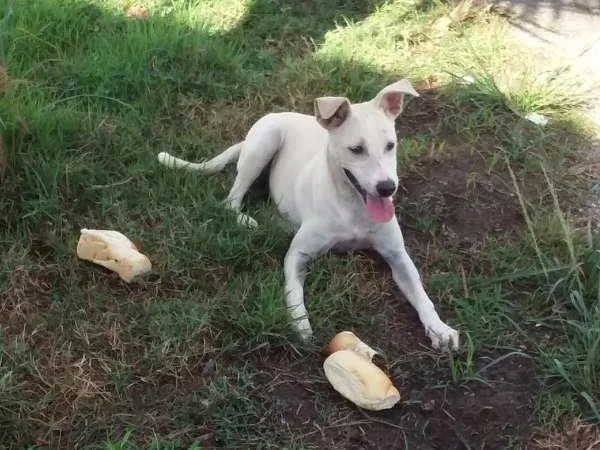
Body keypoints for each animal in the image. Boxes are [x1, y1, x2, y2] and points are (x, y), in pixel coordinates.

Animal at [158, 79, 460, 350]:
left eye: (390, 145)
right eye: (356, 149)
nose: (387, 188)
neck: (351, 205)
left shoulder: (397, 254)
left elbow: (421, 294)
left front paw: (440, 329)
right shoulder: (298, 255)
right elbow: (294, 291)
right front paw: (300, 325)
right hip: (264, 143)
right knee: (231, 200)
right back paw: (247, 220)